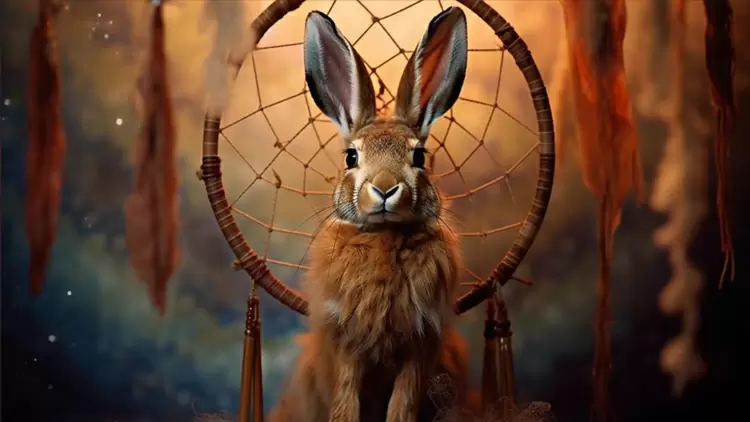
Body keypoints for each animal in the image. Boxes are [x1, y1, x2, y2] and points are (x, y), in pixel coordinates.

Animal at [270, 7, 473, 422]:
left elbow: (403, 403)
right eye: (351, 157)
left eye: (419, 156)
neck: (385, 237)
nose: (384, 188)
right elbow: (346, 400)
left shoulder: (420, 344)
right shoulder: (347, 344)